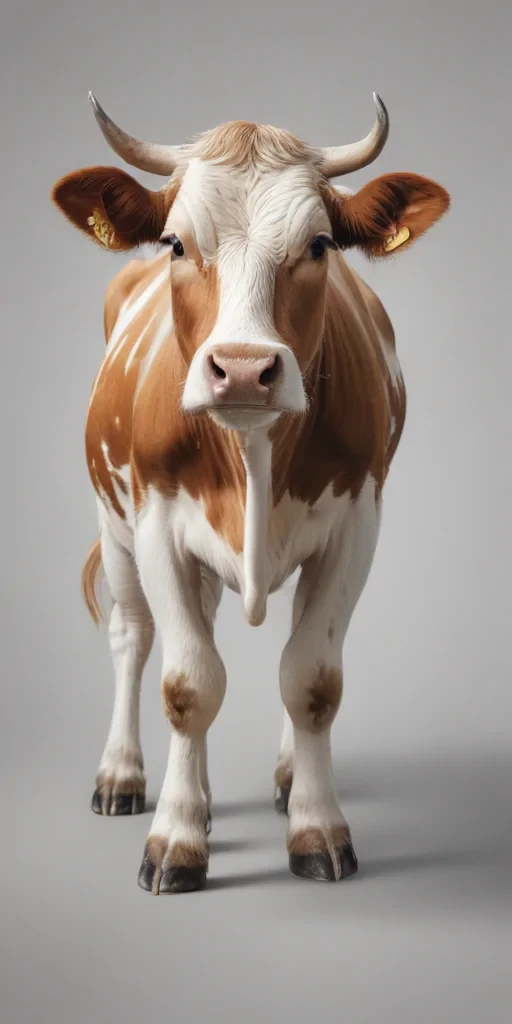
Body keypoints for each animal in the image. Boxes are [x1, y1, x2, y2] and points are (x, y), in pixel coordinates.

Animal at [51, 92, 450, 894]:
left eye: (320, 244)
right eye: (176, 243)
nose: (240, 369)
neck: (251, 455)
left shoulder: (355, 527)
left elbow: (311, 679)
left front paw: (316, 826)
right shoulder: (155, 526)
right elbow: (188, 683)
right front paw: (175, 839)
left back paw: (284, 777)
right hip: (113, 525)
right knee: (134, 638)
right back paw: (127, 777)